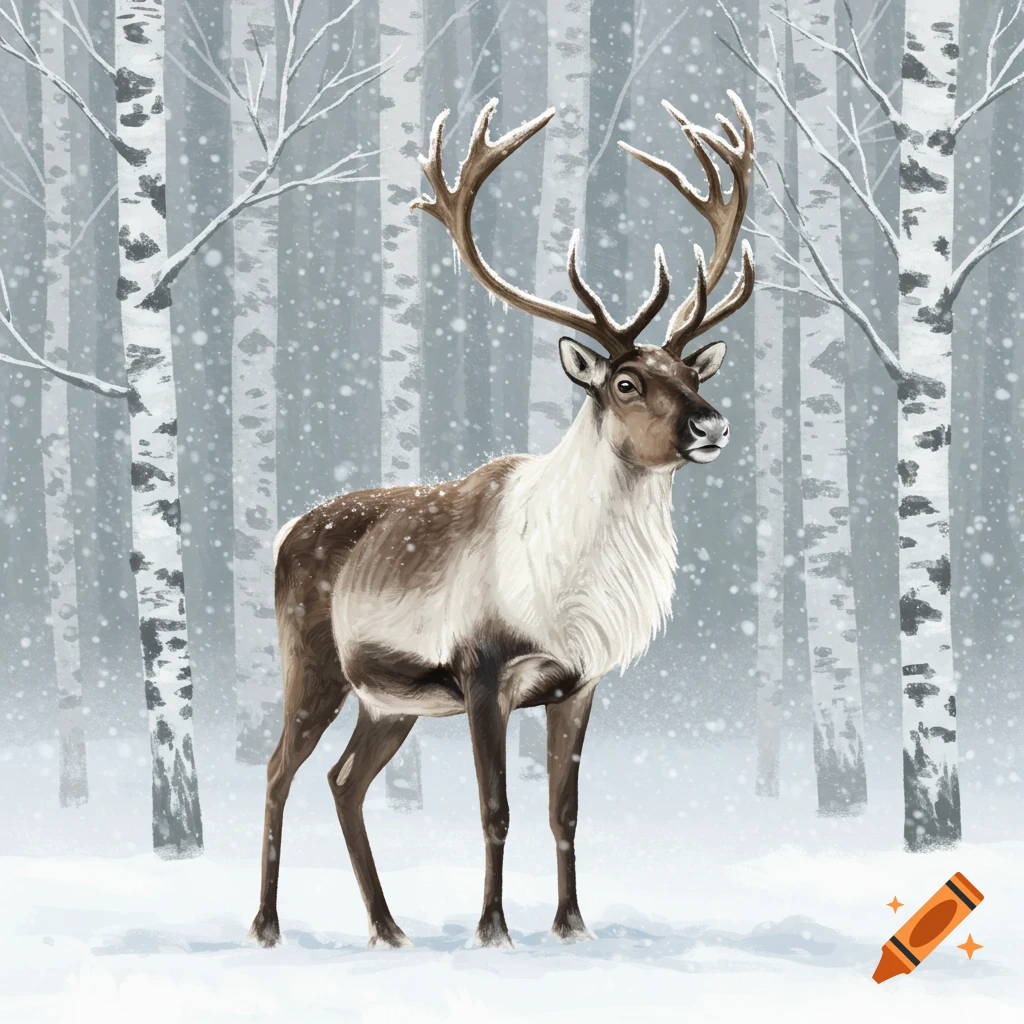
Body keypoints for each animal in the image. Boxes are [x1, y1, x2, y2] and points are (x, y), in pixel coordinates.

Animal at [249, 92, 753, 951]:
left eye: (689, 372)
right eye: (625, 382)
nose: (711, 423)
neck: (569, 587)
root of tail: (285, 534)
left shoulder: (577, 684)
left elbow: (565, 812)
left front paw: (572, 926)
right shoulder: (482, 668)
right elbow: (496, 809)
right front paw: (493, 930)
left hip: (389, 702)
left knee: (344, 780)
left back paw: (388, 928)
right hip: (314, 664)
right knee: (280, 769)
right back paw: (266, 926)